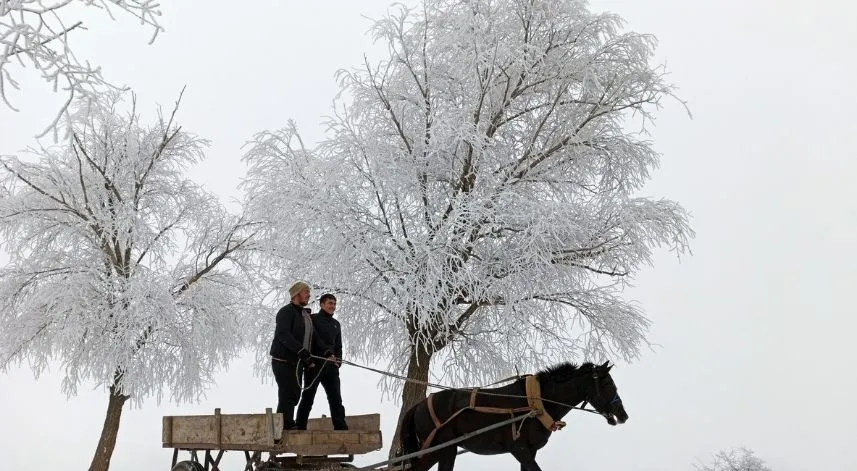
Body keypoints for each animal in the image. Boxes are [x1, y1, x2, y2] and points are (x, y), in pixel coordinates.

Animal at [396, 360, 628, 470]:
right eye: (608, 384)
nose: (623, 415)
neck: (537, 402)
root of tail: (418, 406)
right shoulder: (519, 449)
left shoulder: (530, 451)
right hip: (441, 450)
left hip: (440, 451)